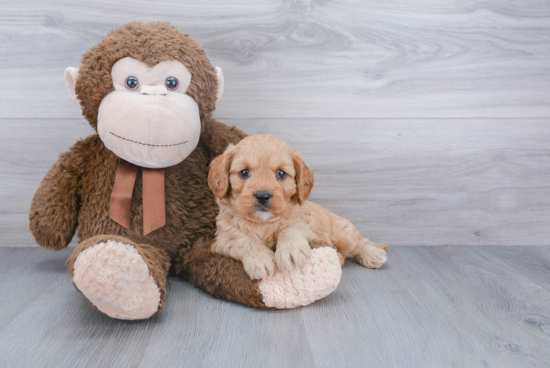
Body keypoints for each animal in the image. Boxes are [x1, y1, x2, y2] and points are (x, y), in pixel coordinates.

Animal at [208, 134, 388, 278]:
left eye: (281, 173)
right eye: (244, 172)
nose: (262, 196)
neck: (263, 223)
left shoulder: (304, 225)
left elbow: (290, 228)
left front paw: (290, 251)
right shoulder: (222, 240)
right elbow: (244, 240)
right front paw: (260, 259)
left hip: (342, 234)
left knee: (360, 242)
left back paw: (374, 254)